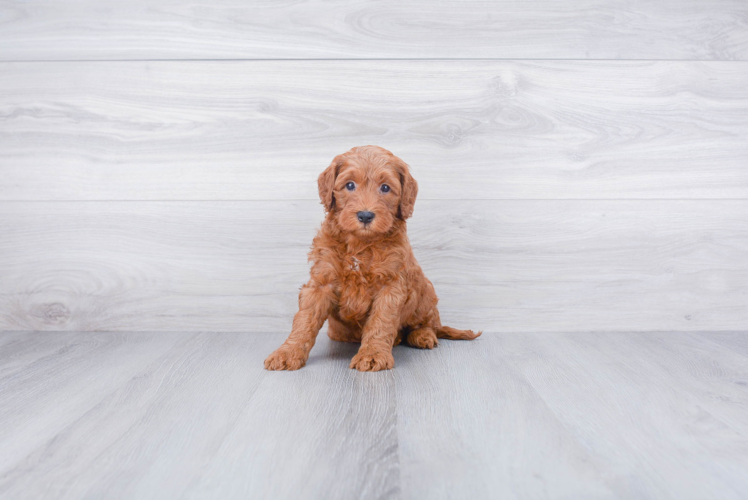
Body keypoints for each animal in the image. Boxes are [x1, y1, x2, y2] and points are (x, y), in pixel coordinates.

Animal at [266, 145, 482, 372]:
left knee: (429, 322)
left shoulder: (390, 285)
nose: (365, 215)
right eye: (349, 185)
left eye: (385, 188)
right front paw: (287, 352)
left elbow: (381, 322)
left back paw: (422, 335)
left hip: (426, 292)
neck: (360, 244)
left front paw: (372, 355)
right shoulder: (321, 281)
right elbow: (305, 319)